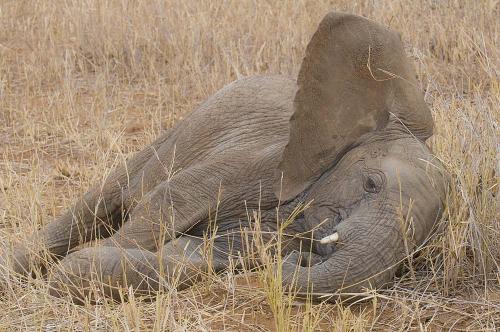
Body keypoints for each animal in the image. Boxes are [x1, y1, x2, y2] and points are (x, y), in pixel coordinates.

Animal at [0, 11, 448, 302]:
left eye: (415, 254)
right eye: (371, 184)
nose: (301, 255)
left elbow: (188, 261)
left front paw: (83, 267)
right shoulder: (256, 164)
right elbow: (162, 206)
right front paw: (72, 268)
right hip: (175, 132)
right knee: (92, 206)